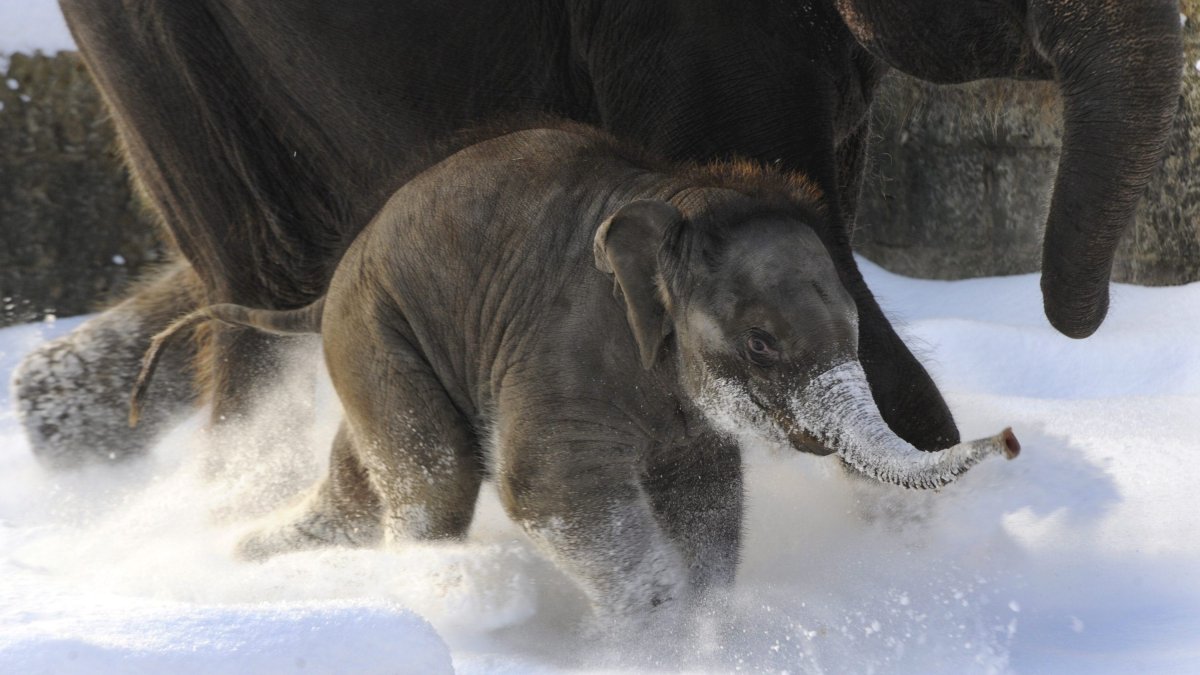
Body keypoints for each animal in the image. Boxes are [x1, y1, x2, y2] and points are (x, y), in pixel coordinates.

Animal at [130, 123, 1019, 617]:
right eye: (763, 341)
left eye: (853, 331)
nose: (1011, 439)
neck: (681, 199)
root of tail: (323, 292)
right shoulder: (565, 349)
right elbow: (549, 489)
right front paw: (656, 635)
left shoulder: (683, 414)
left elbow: (707, 499)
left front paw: (705, 631)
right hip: (375, 333)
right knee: (436, 480)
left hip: (372, 352)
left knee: (361, 487)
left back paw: (251, 558)